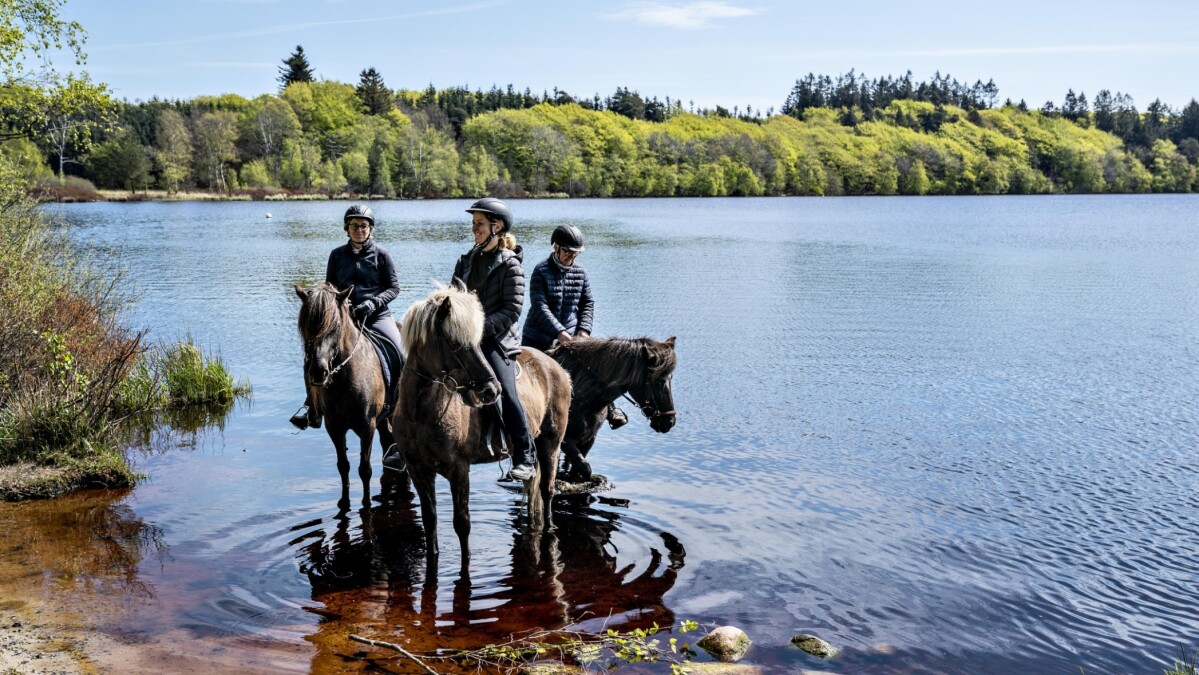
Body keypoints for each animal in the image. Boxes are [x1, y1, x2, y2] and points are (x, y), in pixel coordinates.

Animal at [294, 281, 398, 508]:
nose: (318, 371)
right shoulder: (334, 427)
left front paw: (366, 504)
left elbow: (365, 469)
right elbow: (343, 465)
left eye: (334, 327)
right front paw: (344, 502)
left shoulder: (367, 426)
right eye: (305, 327)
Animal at [386, 282, 568, 568]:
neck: (419, 414)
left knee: (547, 490)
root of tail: (556, 368)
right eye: (454, 343)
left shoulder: (459, 470)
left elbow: (462, 524)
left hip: (551, 444)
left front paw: (467, 561)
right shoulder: (418, 471)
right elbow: (430, 521)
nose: (492, 390)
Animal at [549, 335, 676, 484]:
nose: (670, 422)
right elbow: (584, 468)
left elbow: (579, 470)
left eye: (671, 378)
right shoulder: (564, 439)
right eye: (659, 381)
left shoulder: (589, 438)